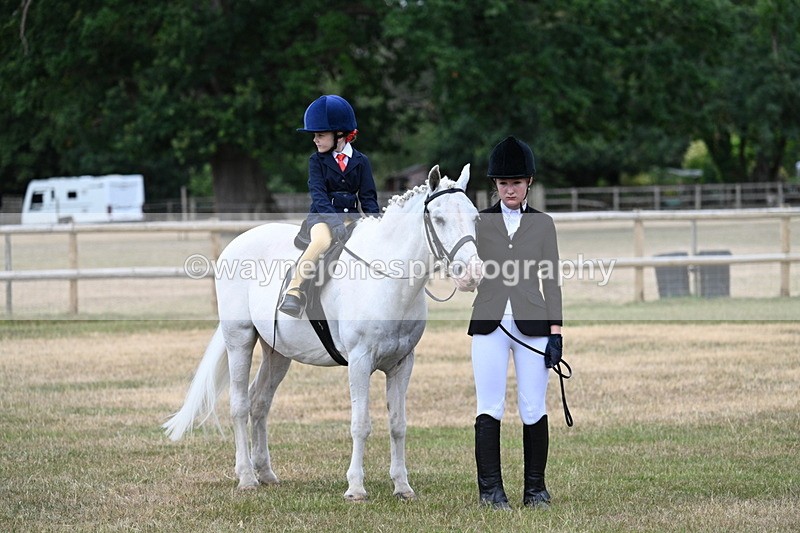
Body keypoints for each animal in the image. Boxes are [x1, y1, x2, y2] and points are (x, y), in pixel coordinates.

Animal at [163, 164, 483, 501]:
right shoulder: (359, 361)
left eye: (475, 217)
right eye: (439, 219)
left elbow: (398, 424)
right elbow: (360, 424)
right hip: (239, 339)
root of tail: (238, 242)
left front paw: (402, 486)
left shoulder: (402, 363)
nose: (472, 275)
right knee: (239, 405)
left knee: (259, 402)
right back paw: (247, 477)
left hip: (277, 353)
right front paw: (355, 487)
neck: (386, 278)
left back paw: (266, 473)